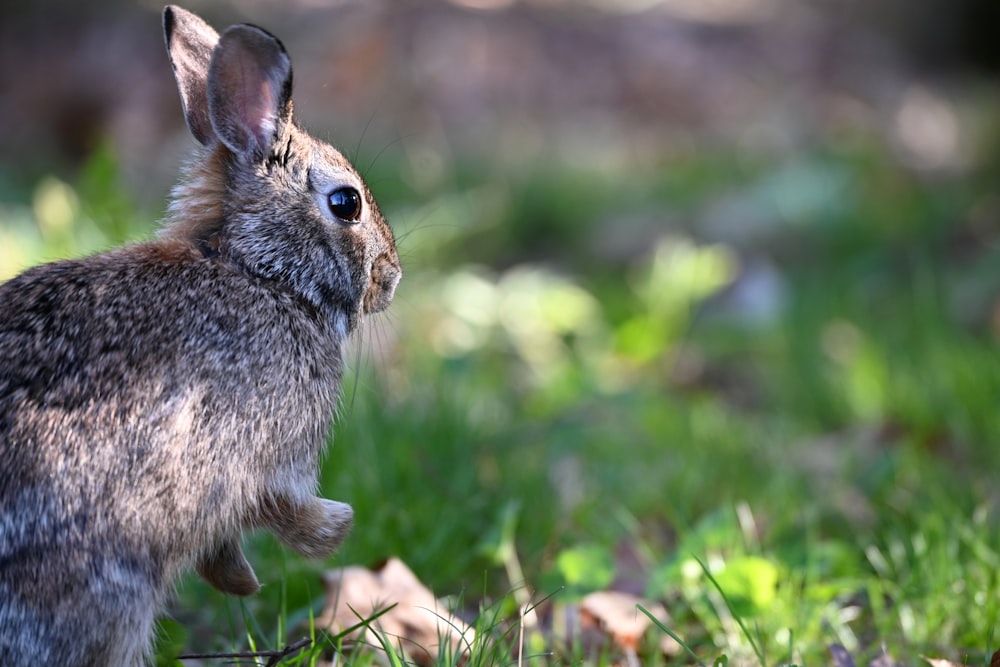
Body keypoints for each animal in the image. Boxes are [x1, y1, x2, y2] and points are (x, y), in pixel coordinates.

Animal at [0, 6, 398, 667]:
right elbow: (283, 510)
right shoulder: (271, 456)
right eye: (346, 203)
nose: (391, 279)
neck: (261, 272)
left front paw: (242, 580)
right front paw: (335, 529)